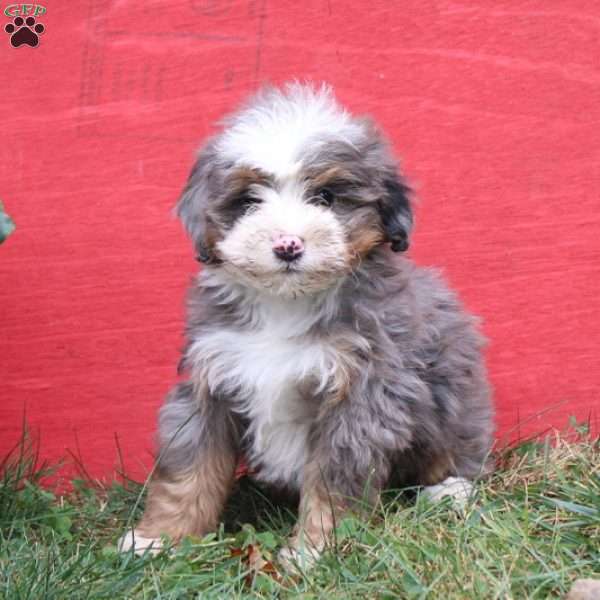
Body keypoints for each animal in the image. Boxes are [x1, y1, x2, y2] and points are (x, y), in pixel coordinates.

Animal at [117, 83, 492, 564]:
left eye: (326, 197)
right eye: (249, 201)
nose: (288, 245)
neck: (286, 303)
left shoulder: (362, 396)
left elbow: (334, 482)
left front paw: (314, 550)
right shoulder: (210, 381)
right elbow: (189, 468)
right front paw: (160, 538)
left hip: (455, 399)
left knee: (459, 453)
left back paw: (450, 491)